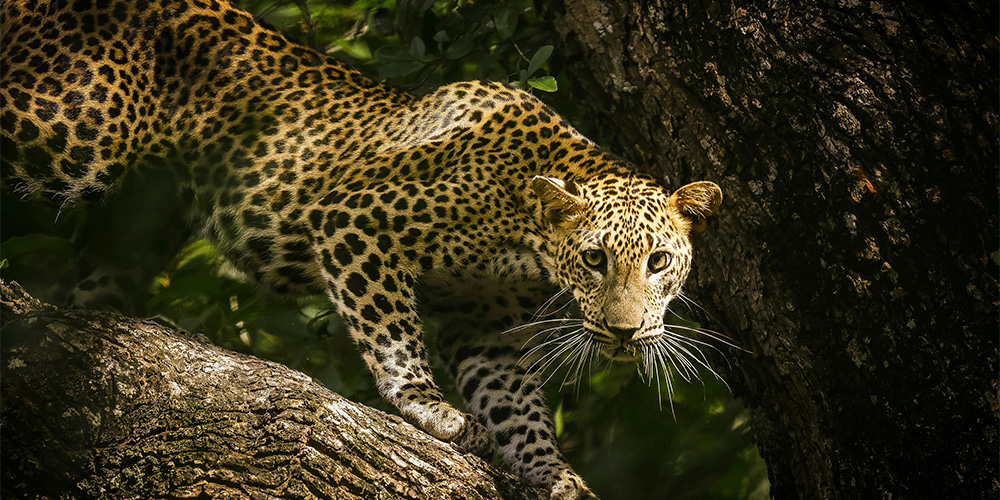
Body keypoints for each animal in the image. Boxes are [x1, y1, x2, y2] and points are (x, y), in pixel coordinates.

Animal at [0, 0, 723, 497]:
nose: (625, 333)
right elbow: (394, 336)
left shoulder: (482, 322)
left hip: (136, 226)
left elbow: (515, 403)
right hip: (65, 127)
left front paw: (553, 473)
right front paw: (430, 410)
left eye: (658, 262)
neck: (527, 234)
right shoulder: (356, 222)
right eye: (595, 260)